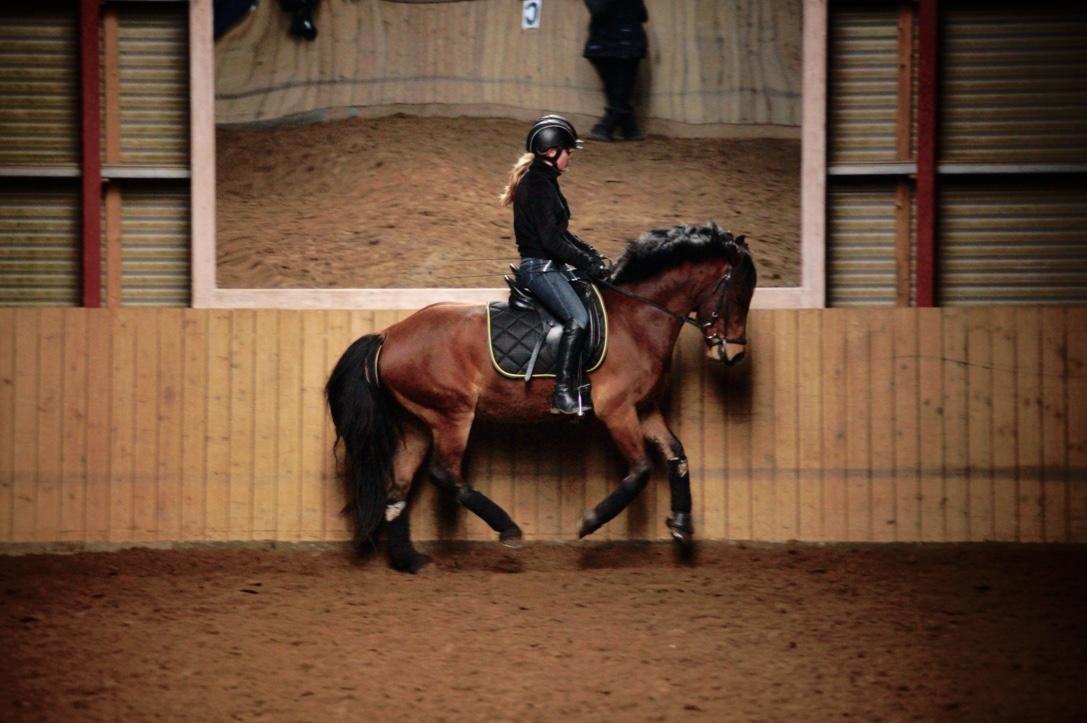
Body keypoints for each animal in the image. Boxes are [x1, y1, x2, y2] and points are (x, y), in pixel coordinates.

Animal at [326, 219, 760, 569]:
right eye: (739, 295)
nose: (734, 354)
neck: (635, 320)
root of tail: (388, 335)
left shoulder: (645, 408)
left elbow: (677, 455)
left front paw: (682, 525)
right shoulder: (617, 410)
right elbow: (639, 472)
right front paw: (589, 522)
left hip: (417, 422)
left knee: (398, 484)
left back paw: (409, 561)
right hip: (452, 413)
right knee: (444, 474)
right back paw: (508, 529)